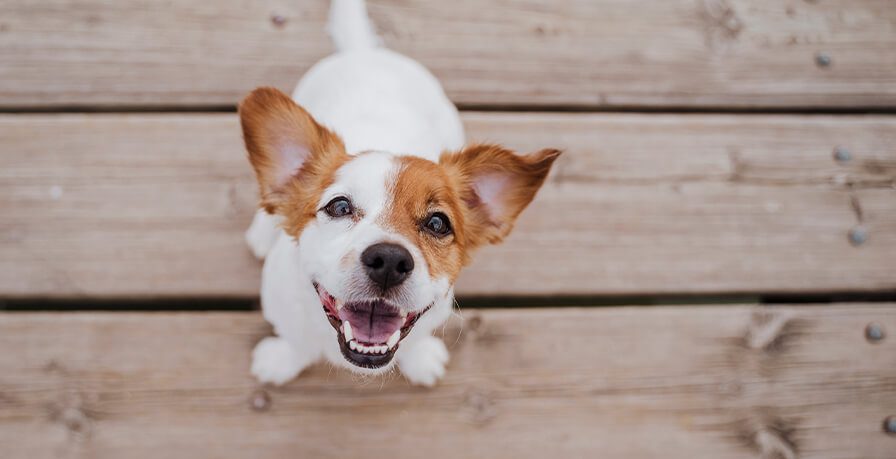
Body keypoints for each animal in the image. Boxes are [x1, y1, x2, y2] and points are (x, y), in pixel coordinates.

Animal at [238, 0, 560, 388]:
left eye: (438, 223)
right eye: (339, 206)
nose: (389, 261)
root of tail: (365, 52)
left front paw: (419, 360)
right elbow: (296, 342)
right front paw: (281, 360)